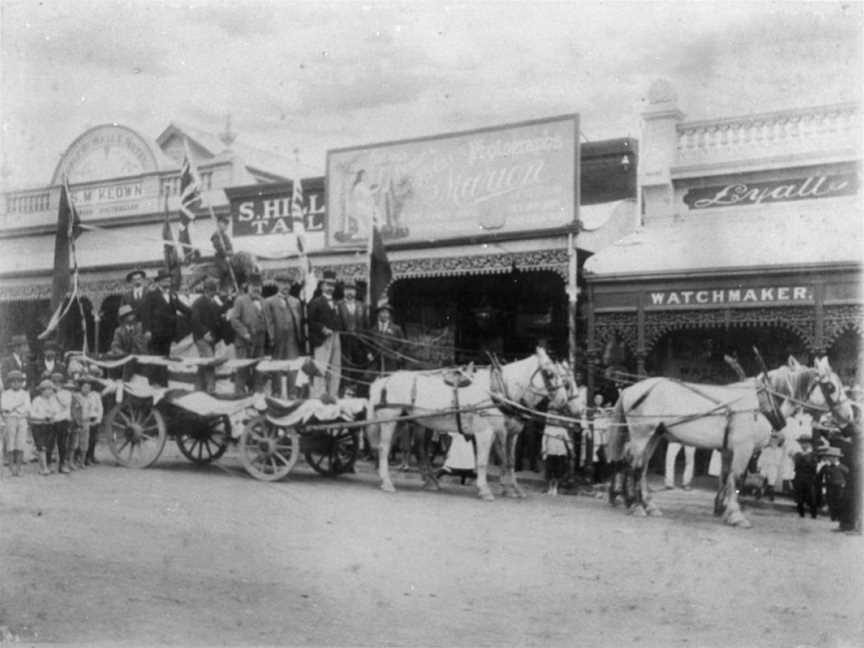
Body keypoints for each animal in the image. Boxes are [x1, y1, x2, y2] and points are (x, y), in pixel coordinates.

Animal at [366, 350, 572, 502]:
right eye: (549, 374)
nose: (563, 401)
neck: (498, 389)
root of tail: (384, 380)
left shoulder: (505, 432)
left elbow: (508, 460)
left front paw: (511, 489)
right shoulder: (486, 432)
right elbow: (482, 461)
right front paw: (486, 490)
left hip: (404, 421)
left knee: (415, 449)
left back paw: (427, 481)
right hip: (389, 419)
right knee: (384, 448)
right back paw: (387, 482)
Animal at [604, 356, 852, 528]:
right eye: (830, 387)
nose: (849, 417)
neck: (760, 403)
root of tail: (629, 389)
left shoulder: (728, 449)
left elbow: (726, 477)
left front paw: (721, 508)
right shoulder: (743, 448)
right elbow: (736, 477)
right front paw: (735, 515)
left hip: (654, 436)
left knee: (641, 467)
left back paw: (647, 504)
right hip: (642, 434)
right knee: (634, 466)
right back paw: (636, 506)